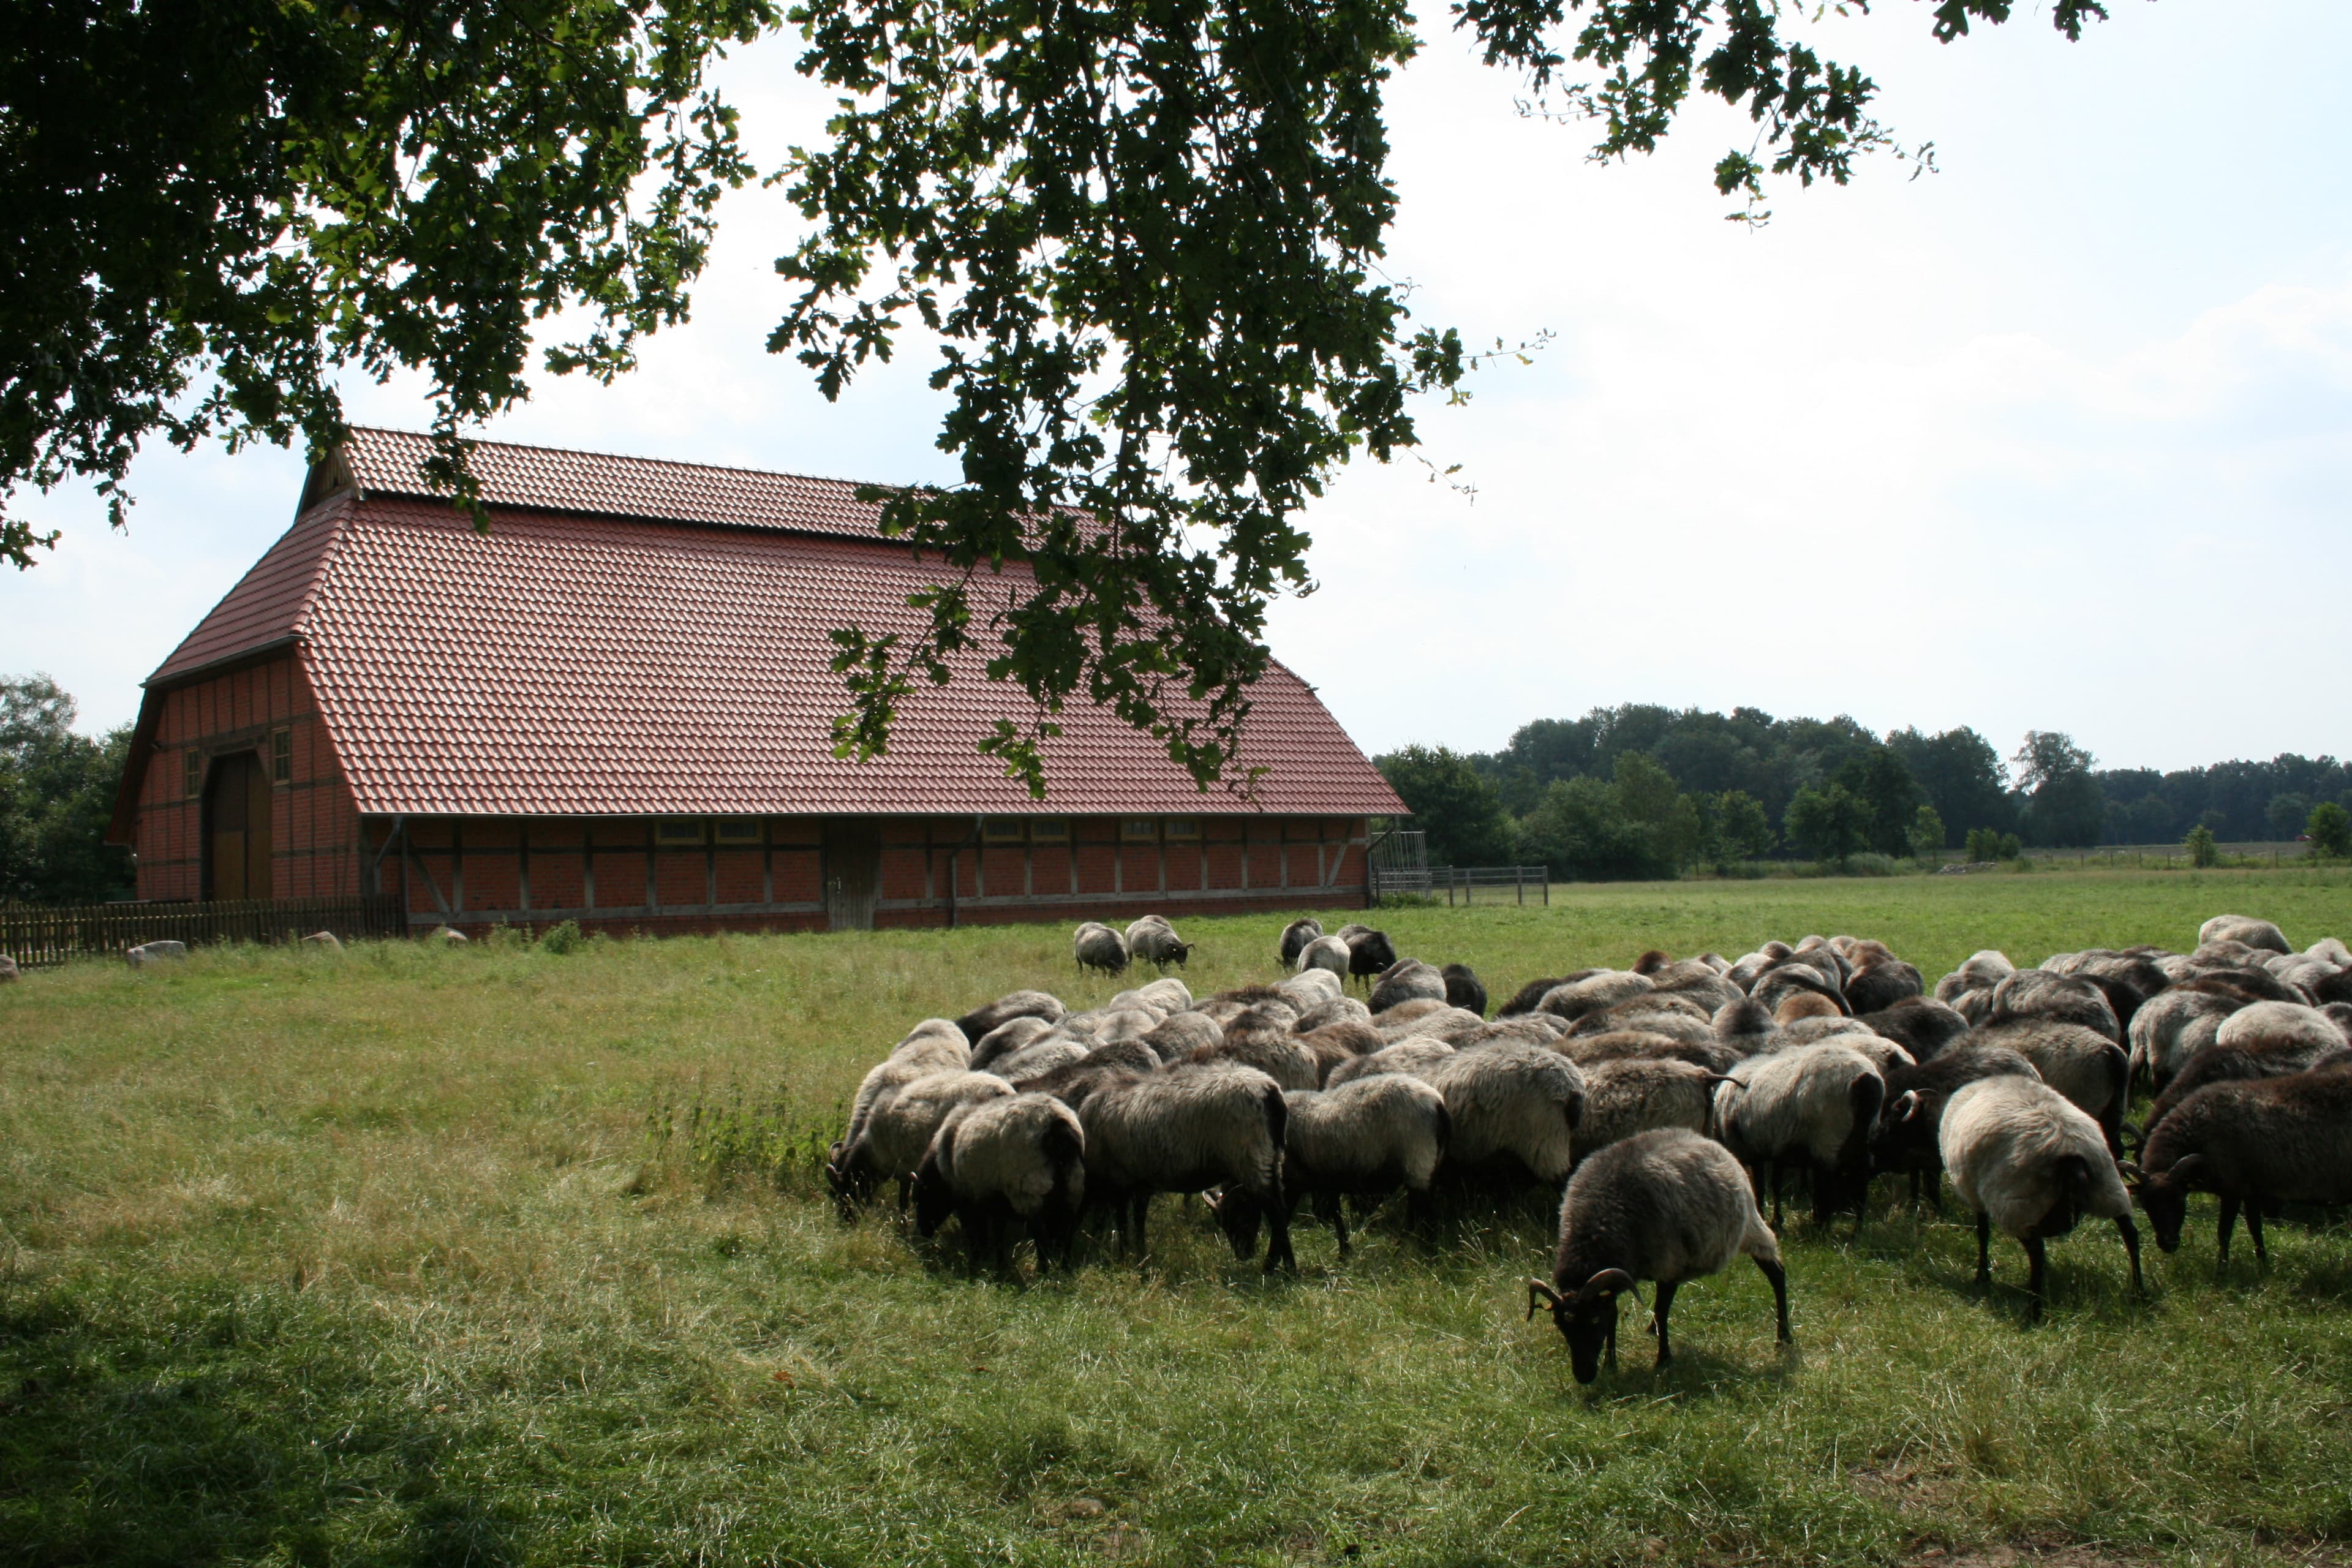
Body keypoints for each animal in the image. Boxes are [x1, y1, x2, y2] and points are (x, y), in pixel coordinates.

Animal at [912, 1100, 1087, 1269]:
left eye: (922, 1200)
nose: (921, 1235)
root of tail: (1057, 1124)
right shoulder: (995, 1201)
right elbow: (997, 1234)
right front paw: (998, 1263)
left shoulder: (968, 1201)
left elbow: (975, 1233)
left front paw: (977, 1262)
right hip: (1073, 1187)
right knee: (1067, 1232)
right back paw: (1064, 1269)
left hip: (1029, 1190)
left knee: (1040, 1234)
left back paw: (1044, 1270)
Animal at [1077, 1067, 1298, 1278]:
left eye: (1235, 1216)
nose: (1244, 1255)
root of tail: (1269, 1092)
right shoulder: (1138, 1183)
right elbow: (1137, 1220)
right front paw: (1140, 1257)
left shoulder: (1120, 1181)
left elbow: (1123, 1221)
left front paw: (1125, 1257)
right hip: (1272, 1158)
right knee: (1281, 1210)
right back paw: (1276, 1266)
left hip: (1250, 1155)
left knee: (1276, 1214)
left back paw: (1284, 1270)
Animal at [1514, 1128, 1787, 1382]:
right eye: (1560, 1325)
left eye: (1593, 1321)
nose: (1584, 1376)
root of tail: (1705, 1139)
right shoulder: (1617, 1277)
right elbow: (1615, 1313)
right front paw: (1611, 1365)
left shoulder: (1669, 1264)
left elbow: (1661, 1309)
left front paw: (1663, 1360)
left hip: (1749, 1227)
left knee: (1776, 1272)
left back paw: (1784, 1338)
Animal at [1938, 1072, 2145, 1316]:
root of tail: (2067, 1146)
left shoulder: (1974, 1194)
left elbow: (1983, 1232)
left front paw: (1982, 1276)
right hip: (2108, 1185)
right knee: (2130, 1233)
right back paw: (2139, 1292)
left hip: (2017, 1203)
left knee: (2037, 1251)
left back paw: (2034, 1311)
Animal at [2126, 1062, 2352, 1269]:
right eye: (2145, 1204)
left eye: (2179, 1199)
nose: (2168, 1244)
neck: (2199, 1131)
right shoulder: (2250, 1189)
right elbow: (2255, 1228)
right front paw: (2263, 1264)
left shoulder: (2232, 1189)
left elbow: (2224, 1232)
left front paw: (2222, 1270)